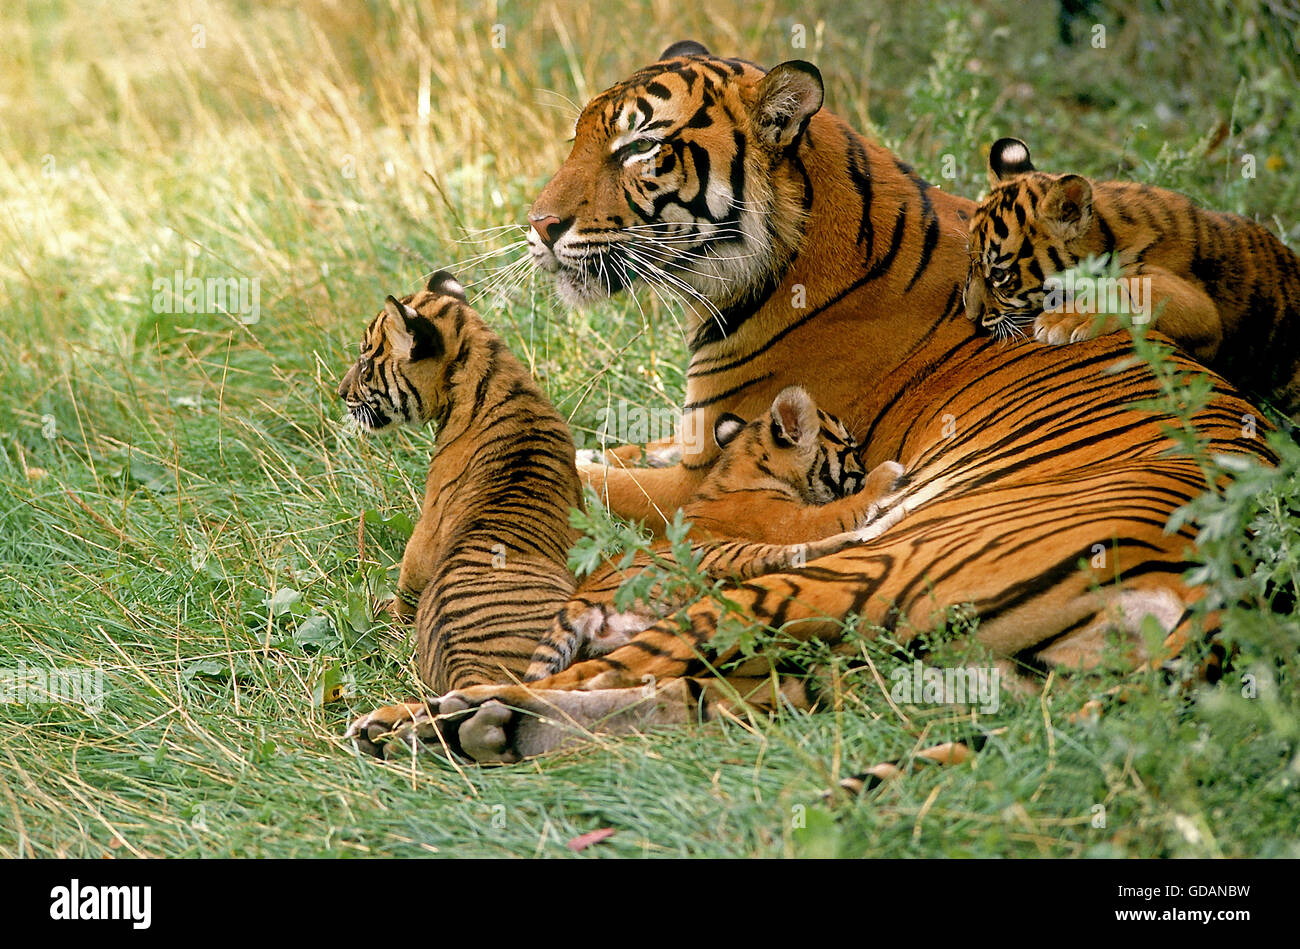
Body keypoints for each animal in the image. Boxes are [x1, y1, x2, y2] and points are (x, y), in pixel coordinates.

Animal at [369, 42, 1279, 759]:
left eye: (640, 147)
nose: (538, 226)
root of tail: (1214, 585)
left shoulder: (703, 469)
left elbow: (590, 480)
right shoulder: (682, 438)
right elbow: (594, 449)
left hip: (857, 567)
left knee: (624, 669)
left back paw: (430, 719)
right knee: (698, 698)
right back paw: (481, 730)